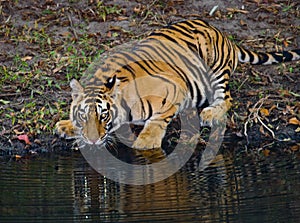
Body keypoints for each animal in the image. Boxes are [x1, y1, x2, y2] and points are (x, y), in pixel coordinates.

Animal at [54, 19, 300, 150]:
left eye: (104, 115)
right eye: (84, 115)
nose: (93, 140)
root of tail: (221, 33)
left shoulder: (174, 89)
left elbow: (158, 119)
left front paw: (146, 143)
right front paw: (66, 126)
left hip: (215, 68)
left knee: (227, 98)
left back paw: (210, 113)